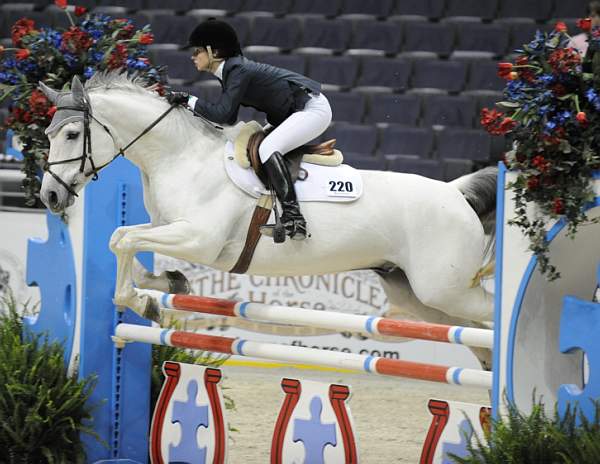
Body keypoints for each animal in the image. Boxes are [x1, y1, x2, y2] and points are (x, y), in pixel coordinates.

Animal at [38, 73, 496, 362]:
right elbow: (123, 237)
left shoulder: (198, 239)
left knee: (489, 316)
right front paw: (165, 284)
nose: (50, 196)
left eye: (72, 134)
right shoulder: (168, 227)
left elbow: (124, 241)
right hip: (420, 297)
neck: (181, 156)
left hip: (444, 288)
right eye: (47, 134)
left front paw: (143, 301)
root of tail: (454, 193)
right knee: (476, 335)